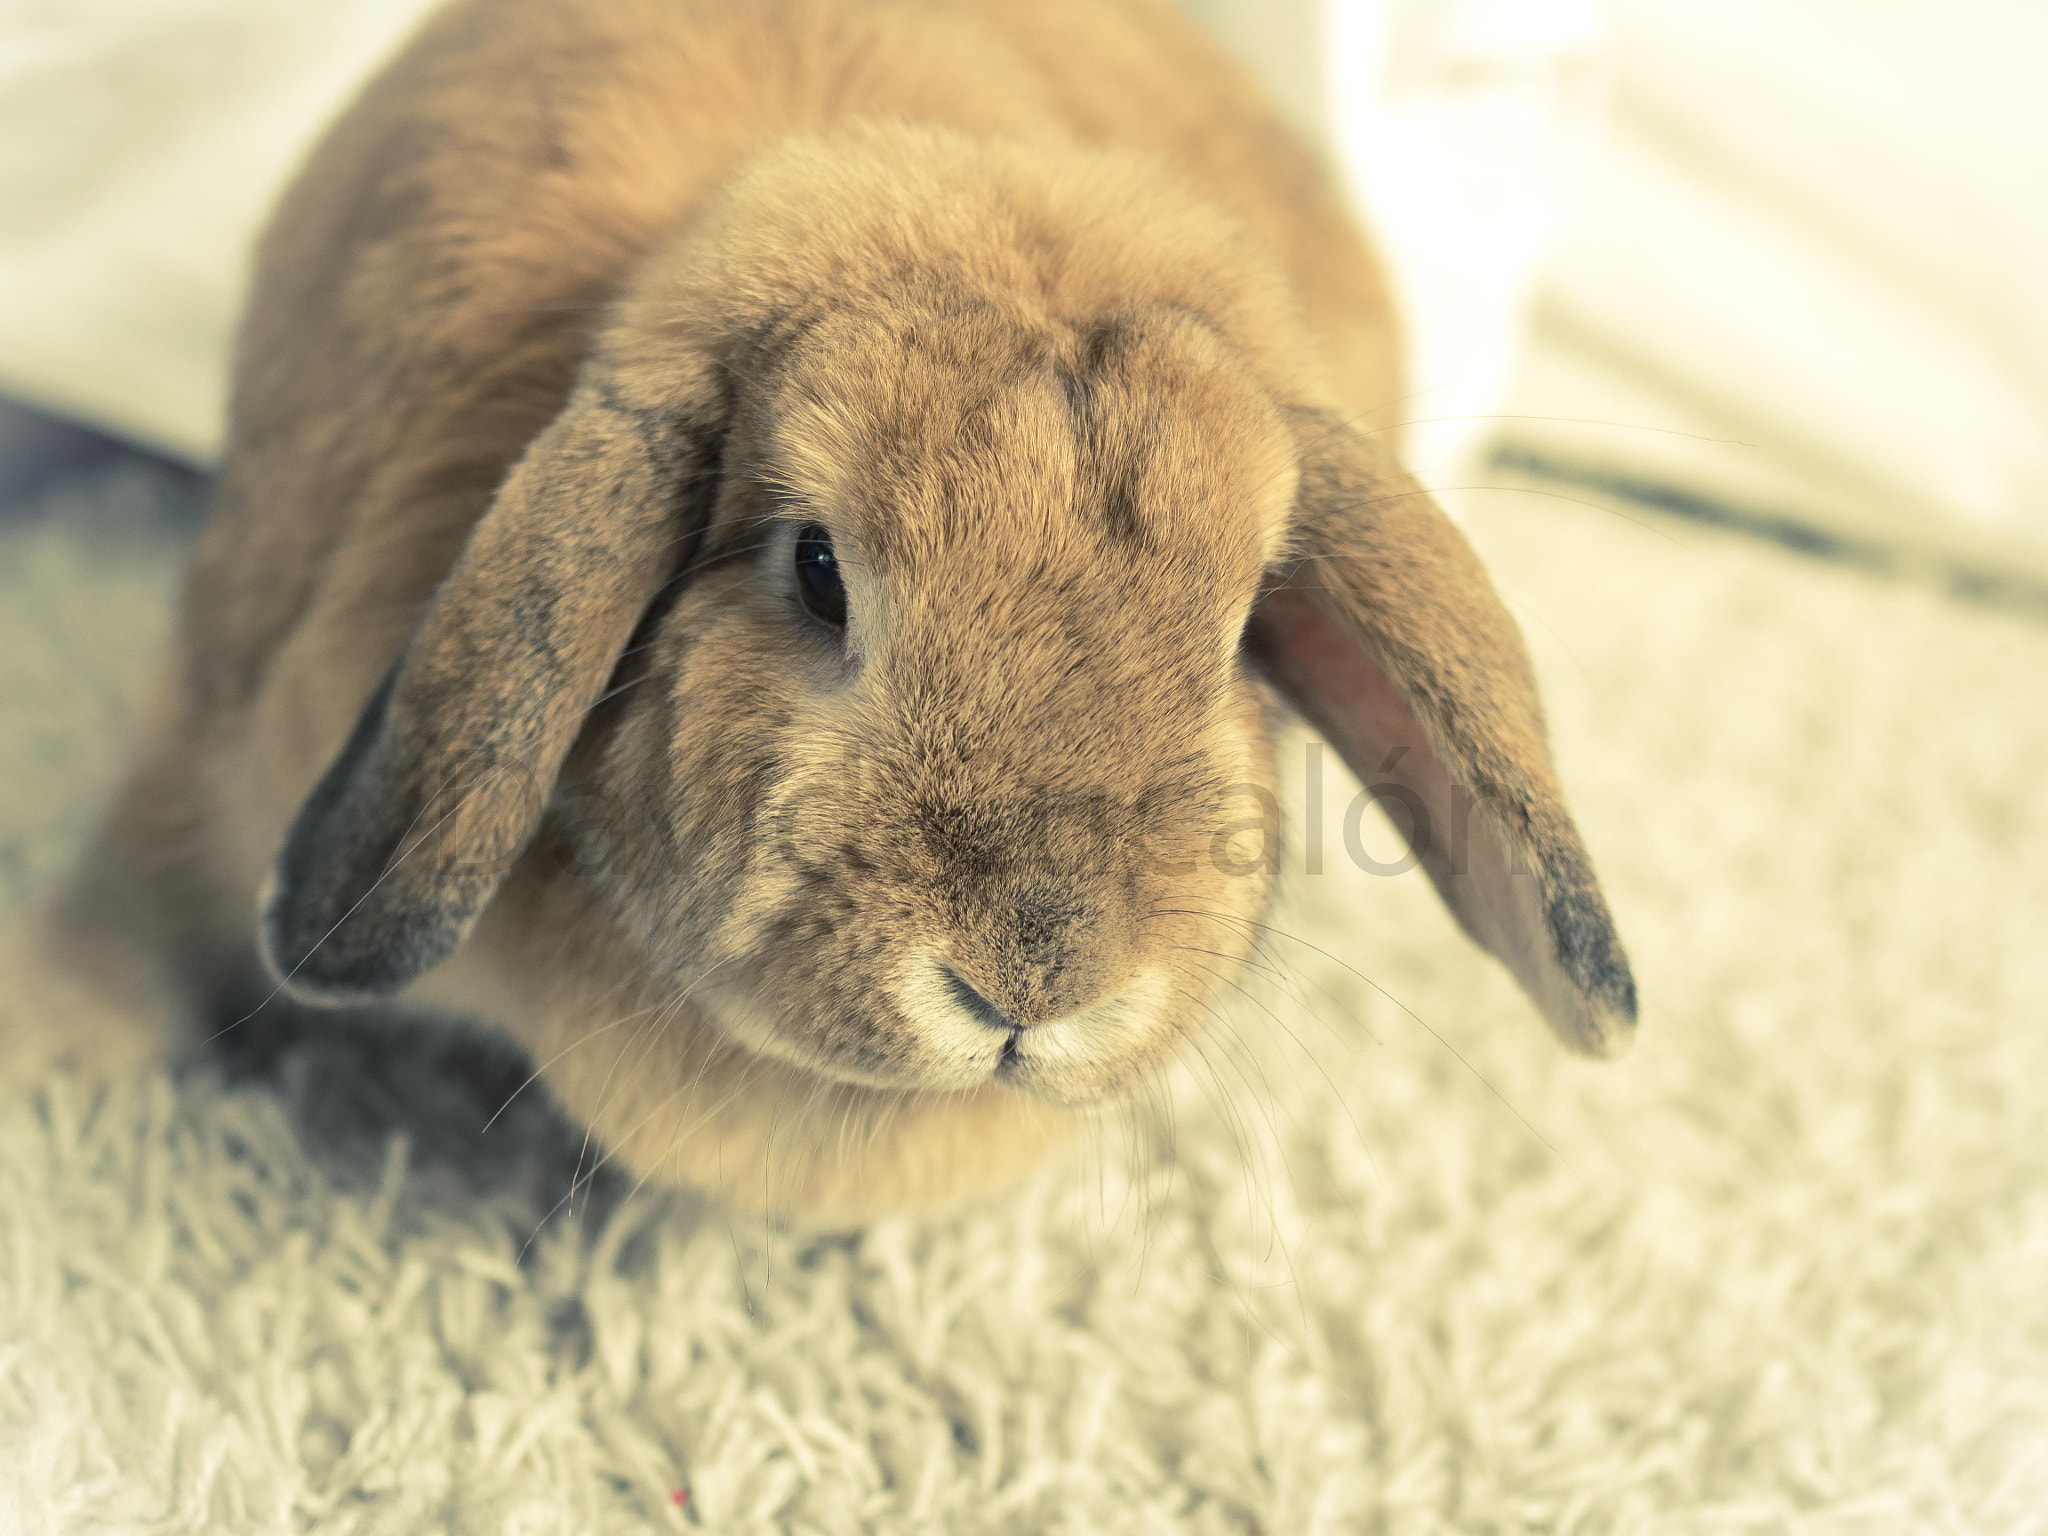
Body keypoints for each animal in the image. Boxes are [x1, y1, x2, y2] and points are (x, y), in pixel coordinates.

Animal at [4, 0, 1635, 1220]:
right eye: (817, 569)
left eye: (1242, 629)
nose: (1035, 981)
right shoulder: (215, 738)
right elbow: (141, 875)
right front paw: (51, 1051)